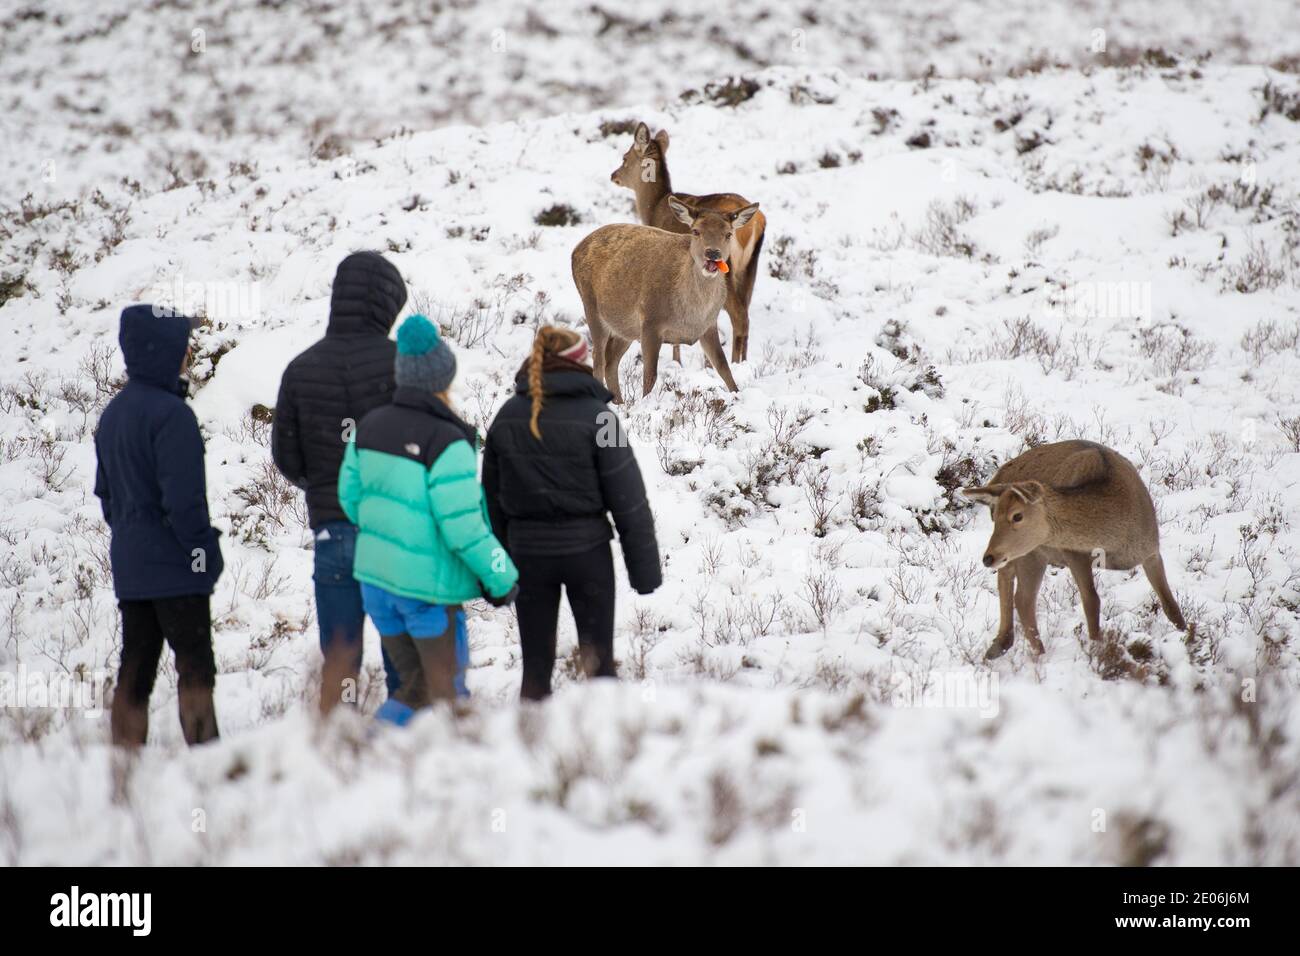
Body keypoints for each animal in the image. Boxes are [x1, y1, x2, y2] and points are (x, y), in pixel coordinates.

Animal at [572, 195, 759, 403]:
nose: (712, 253)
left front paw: (737, 395)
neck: (691, 313)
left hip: (626, 327)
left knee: (611, 361)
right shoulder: (651, 321)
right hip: (590, 304)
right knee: (598, 358)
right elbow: (650, 375)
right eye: (696, 231)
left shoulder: (708, 325)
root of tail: (576, 250)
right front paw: (645, 403)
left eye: (728, 234)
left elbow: (723, 366)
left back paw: (619, 403)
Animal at [611, 122, 764, 366]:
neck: (653, 209)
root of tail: (755, 224)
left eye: (624, 157)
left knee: (739, 316)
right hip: (750, 268)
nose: (613, 175)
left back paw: (733, 363)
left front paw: (677, 362)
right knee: (746, 314)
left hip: (726, 267)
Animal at [956, 439, 1190, 658]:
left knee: (1015, 589)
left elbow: (1170, 604)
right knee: (1021, 596)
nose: (987, 558)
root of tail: (999, 474)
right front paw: (1098, 649)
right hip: (1032, 552)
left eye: (1017, 515)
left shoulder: (1151, 550)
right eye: (996, 516)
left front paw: (1186, 635)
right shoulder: (1073, 553)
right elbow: (1092, 602)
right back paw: (1033, 654)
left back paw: (1007, 644)